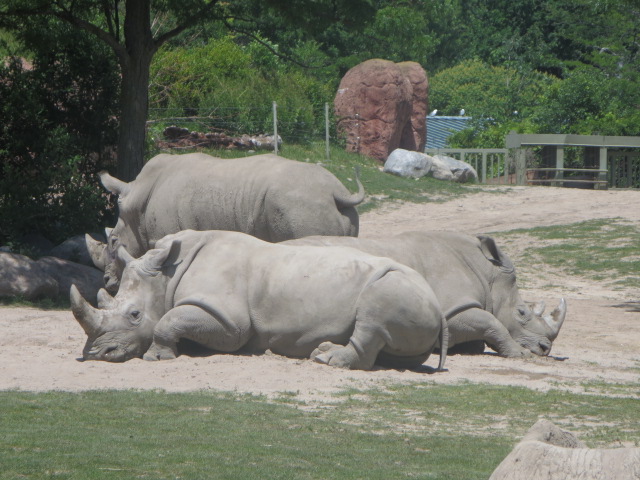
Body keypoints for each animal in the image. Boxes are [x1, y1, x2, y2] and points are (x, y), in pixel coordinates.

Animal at [70, 230, 448, 371]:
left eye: (135, 314)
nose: (96, 354)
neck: (166, 275)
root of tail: (439, 303)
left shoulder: (229, 321)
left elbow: (169, 319)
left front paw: (156, 356)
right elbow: (174, 319)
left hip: (398, 287)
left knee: (374, 320)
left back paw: (325, 360)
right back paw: (323, 351)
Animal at [284, 231, 566, 357]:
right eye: (522, 312)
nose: (545, 348)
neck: (488, 274)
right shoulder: (452, 309)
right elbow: (492, 322)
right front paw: (519, 354)